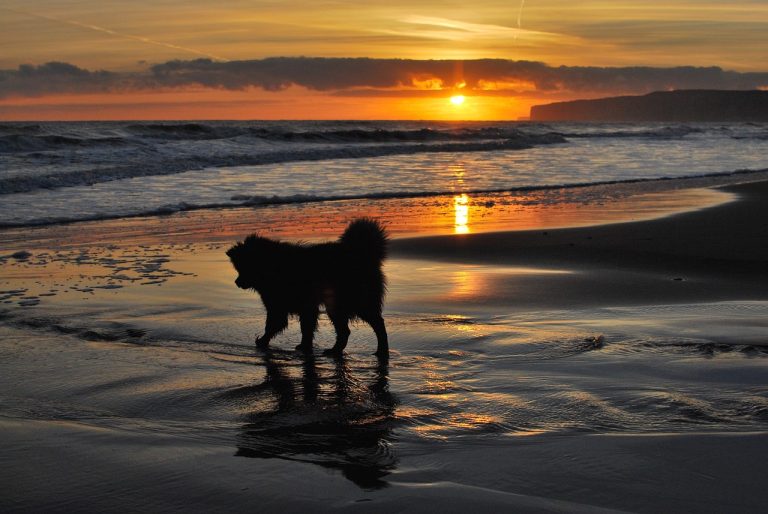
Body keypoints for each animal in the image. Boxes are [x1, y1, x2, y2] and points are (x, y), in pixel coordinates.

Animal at [225, 217, 388, 356]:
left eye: (245, 267)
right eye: (239, 268)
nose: (237, 282)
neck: (273, 267)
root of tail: (362, 254)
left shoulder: (285, 307)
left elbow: (275, 326)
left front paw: (262, 341)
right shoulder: (294, 307)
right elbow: (304, 329)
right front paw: (304, 346)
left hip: (350, 302)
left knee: (375, 325)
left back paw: (379, 351)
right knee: (346, 331)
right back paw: (337, 350)